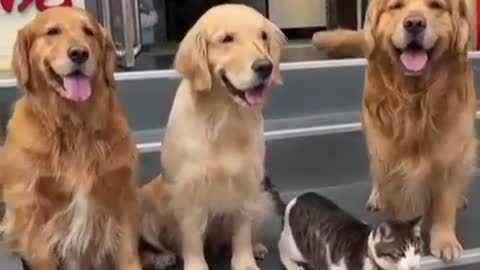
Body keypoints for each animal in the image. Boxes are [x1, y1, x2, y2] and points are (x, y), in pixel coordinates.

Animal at [0, 6, 142, 270]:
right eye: (52, 31)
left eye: (89, 31)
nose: (79, 53)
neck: (74, 125)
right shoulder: (32, 207)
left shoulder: (122, 194)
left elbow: (128, 253)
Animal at [264, 177, 426, 270]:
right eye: (400, 253)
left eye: (417, 250)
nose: (413, 266)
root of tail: (292, 202)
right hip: (294, 246)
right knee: (281, 248)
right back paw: (294, 266)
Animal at [312, 0, 476, 264]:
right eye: (396, 6)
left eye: (437, 6)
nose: (415, 23)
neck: (416, 98)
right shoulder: (391, 157)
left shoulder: (452, 151)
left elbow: (445, 202)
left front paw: (445, 240)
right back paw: (377, 196)